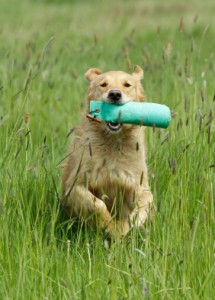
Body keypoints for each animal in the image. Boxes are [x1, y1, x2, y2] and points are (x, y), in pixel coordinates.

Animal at [61, 66, 153, 241]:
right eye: (103, 84)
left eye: (127, 84)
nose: (115, 94)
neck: (113, 142)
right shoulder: (75, 185)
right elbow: (98, 204)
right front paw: (111, 227)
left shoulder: (138, 184)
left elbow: (144, 203)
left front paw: (130, 224)